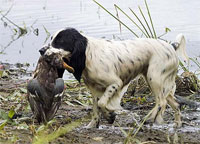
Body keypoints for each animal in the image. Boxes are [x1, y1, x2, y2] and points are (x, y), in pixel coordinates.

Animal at [39, 27, 189, 127]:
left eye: (60, 41)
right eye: (52, 39)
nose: (41, 50)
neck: (88, 54)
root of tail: (171, 46)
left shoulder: (115, 83)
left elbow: (102, 103)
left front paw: (110, 115)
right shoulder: (94, 89)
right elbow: (96, 108)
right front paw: (93, 125)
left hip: (154, 78)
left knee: (161, 102)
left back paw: (149, 118)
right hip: (159, 82)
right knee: (175, 104)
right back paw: (177, 125)